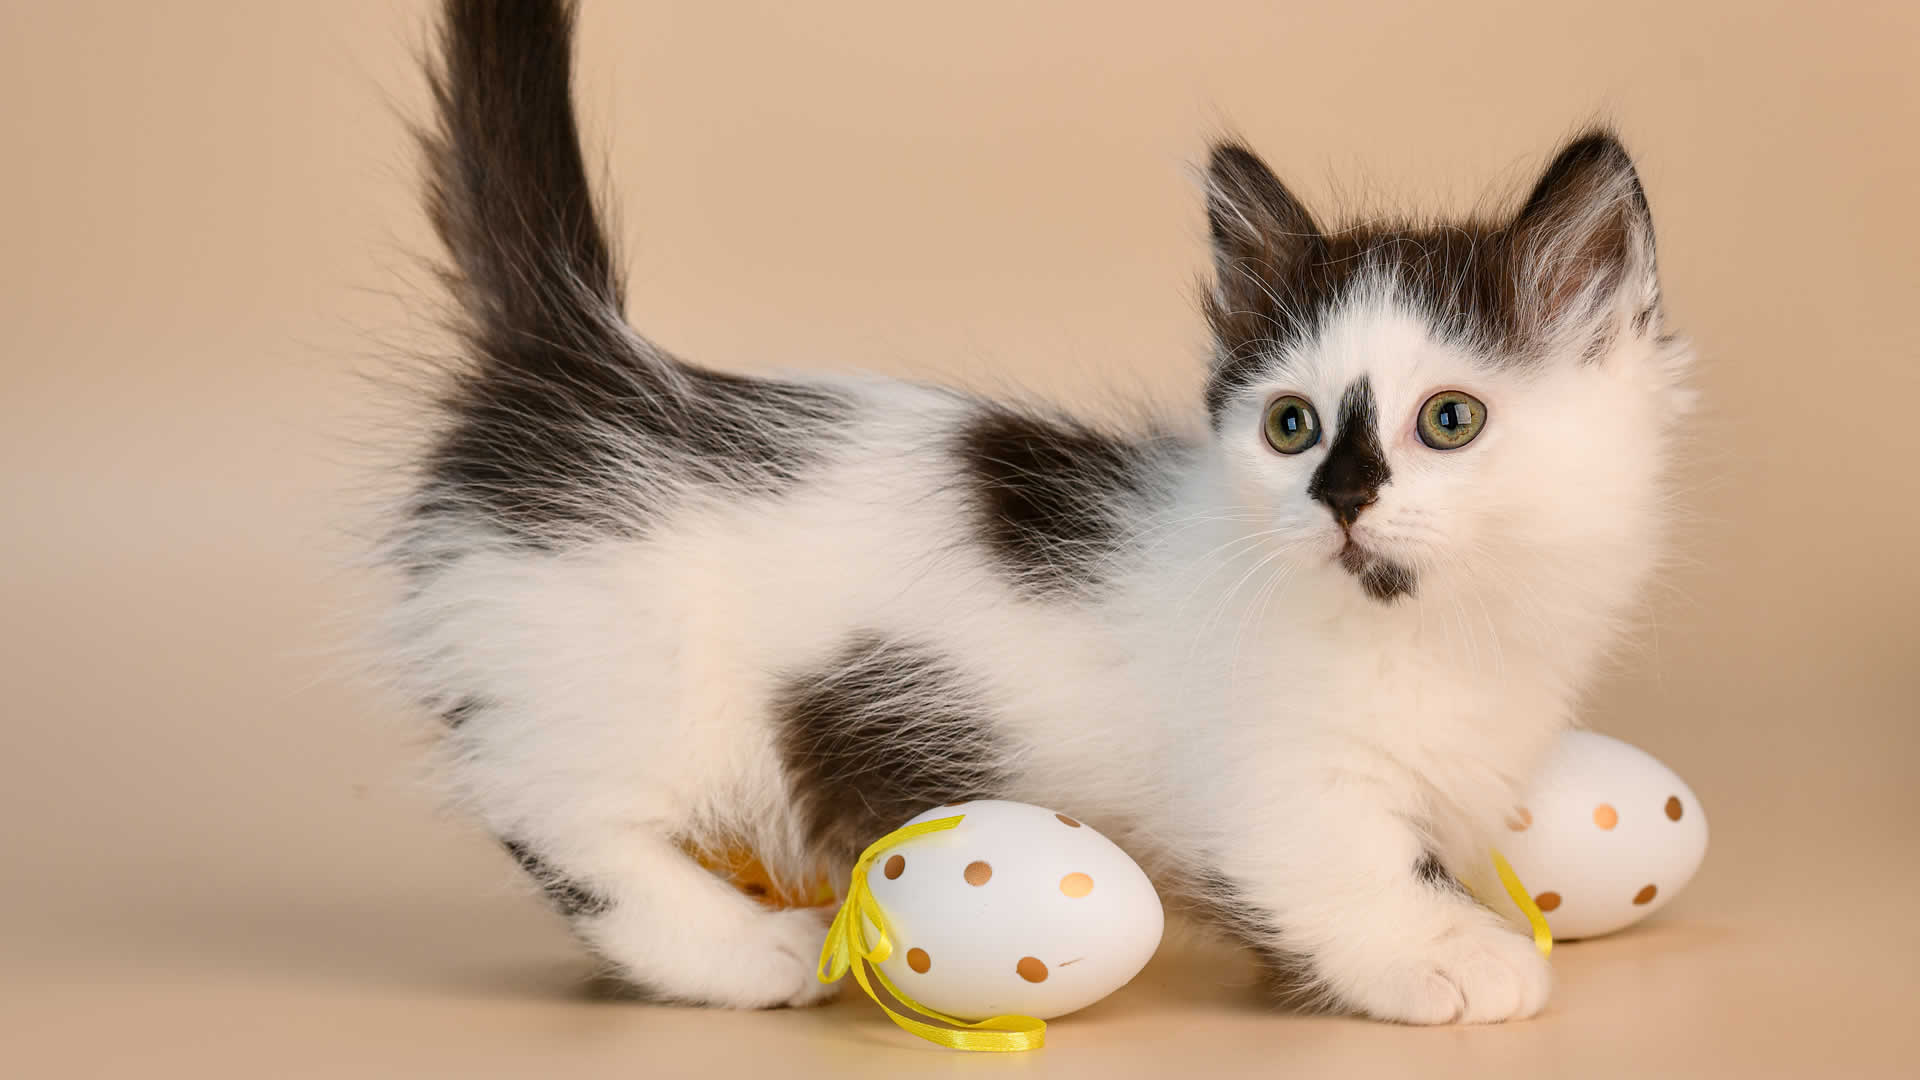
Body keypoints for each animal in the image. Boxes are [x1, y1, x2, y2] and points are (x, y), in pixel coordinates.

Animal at [378, 0, 1697, 1022]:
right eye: (1292, 426)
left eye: (1450, 420)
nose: (1341, 497)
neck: (1431, 633)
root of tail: (581, 373)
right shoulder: (1262, 773)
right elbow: (1331, 858)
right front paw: (1442, 952)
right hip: (620, 665)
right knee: (562, 816)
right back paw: (741, 950)